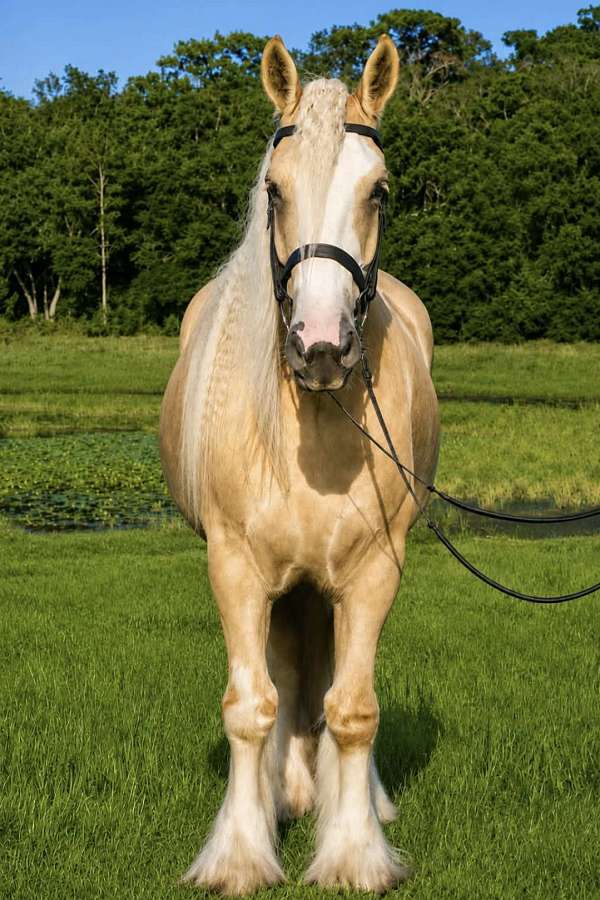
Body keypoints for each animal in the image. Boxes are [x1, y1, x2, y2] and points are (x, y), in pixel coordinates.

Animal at [159, 34, 440, 894]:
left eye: (379, 191)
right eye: (273, 192)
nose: (320, 345)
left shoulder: (376, 568)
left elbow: (354, 708)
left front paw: (353, 854)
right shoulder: (236, 567)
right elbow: (251, 706)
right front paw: (240, 854)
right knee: (285, 679)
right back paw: (286, 791)